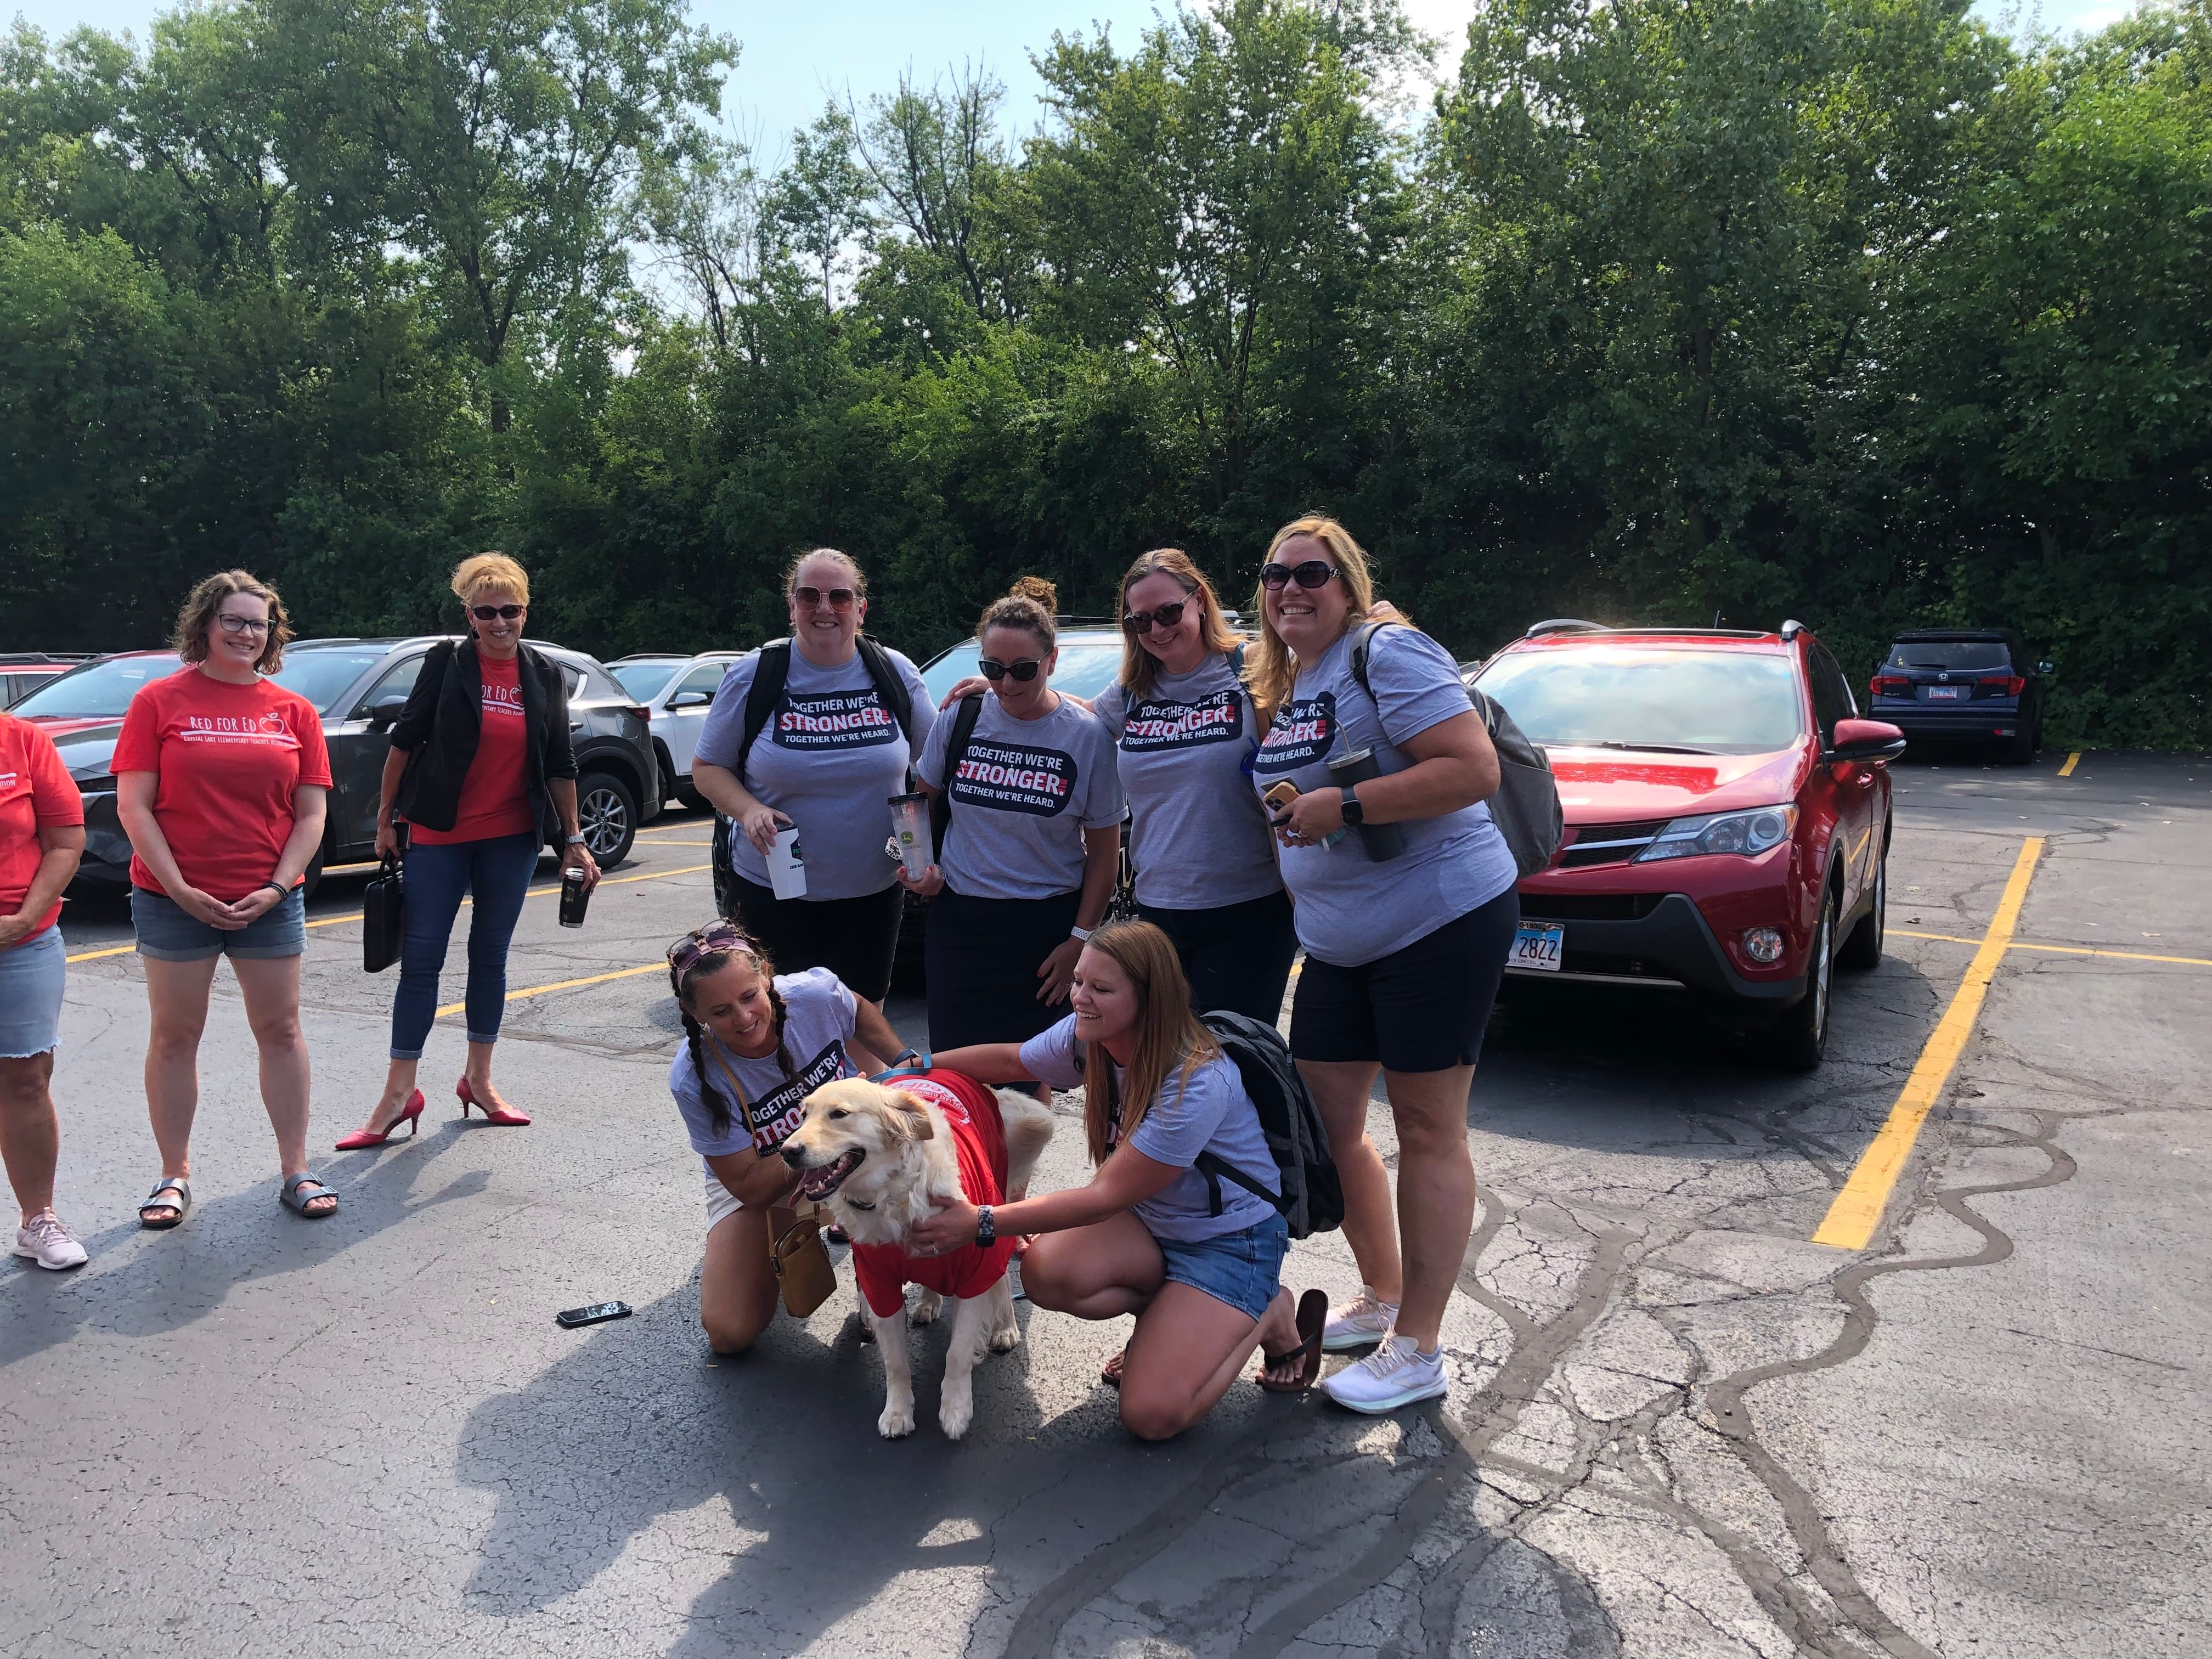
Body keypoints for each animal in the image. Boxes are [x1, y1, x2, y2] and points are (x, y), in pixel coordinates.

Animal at [778, 1079, 1053, 1442]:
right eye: (802, 1115)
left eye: (839, 1114)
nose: (787, 1152)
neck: (888, 1195)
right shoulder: (879, 1285)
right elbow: (896, 1361)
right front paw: (898, 1412)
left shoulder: (974, 1268)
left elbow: (958, 1352)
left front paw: (955, 1409)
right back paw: (928, 1303)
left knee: (1003, 1277)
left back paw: (1005, 1326)